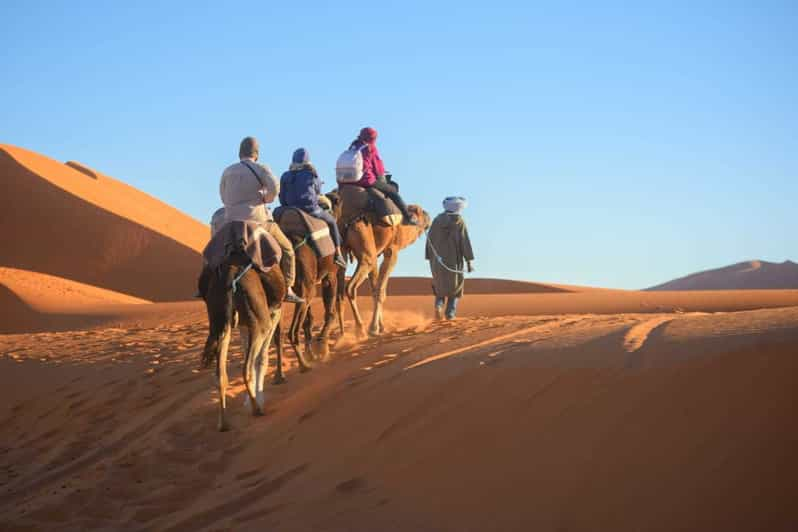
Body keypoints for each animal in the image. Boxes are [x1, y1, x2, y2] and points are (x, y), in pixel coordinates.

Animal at [198, 250, 286, 432]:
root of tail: (229, 277)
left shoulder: (244, 325)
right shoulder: (274, 314)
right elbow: (263, 356)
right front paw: (265, 391)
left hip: (220, 322)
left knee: (221, 374)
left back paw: (223, 423)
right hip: (261, 322)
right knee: (247, 367)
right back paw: (256, 409)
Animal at [332, 191, 432, 336]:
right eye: (419, 211)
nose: (428, 215)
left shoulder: (376, 252)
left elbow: (374, 289)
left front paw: (381, 327)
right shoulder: (392, 250)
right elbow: (380, 291)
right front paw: (374, 329)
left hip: (343, 249)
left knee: (339, 292)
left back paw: (341, 334)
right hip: (362, 234)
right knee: (350, 287)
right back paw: (360, 329)